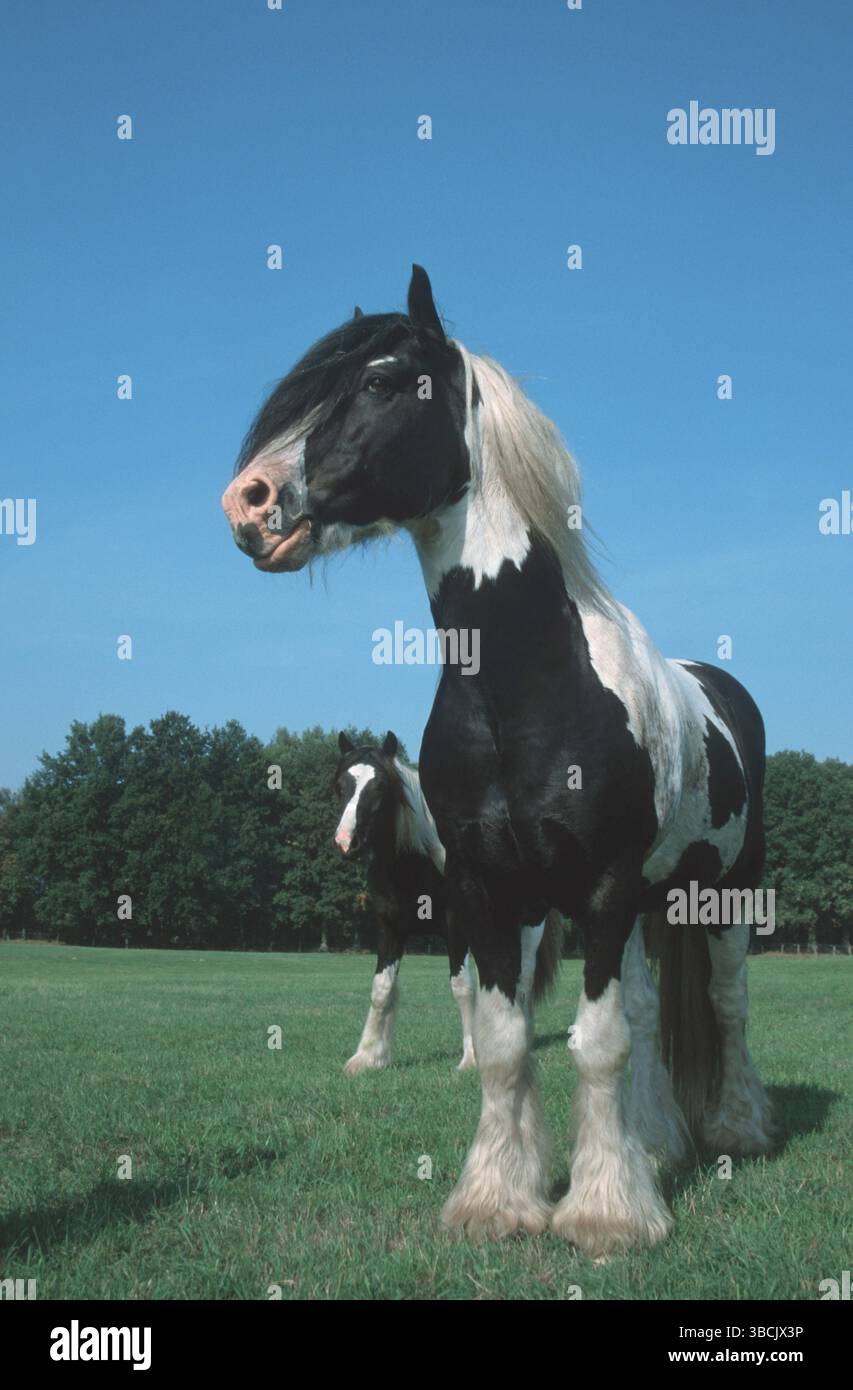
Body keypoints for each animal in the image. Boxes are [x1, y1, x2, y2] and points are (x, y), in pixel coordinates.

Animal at [221, 265, 775, 1257]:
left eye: (380, 380)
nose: (246, 503)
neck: (532, 684)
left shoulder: (597, 890)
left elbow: (595, 1044)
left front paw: (604, 1215)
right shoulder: (490, 891)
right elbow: (508, 1041)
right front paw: (498, 1200)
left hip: (721, 894)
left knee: (724, 1005)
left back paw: (734, 1130)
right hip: (647, 905)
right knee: (646, 1014)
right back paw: (657, 1142)